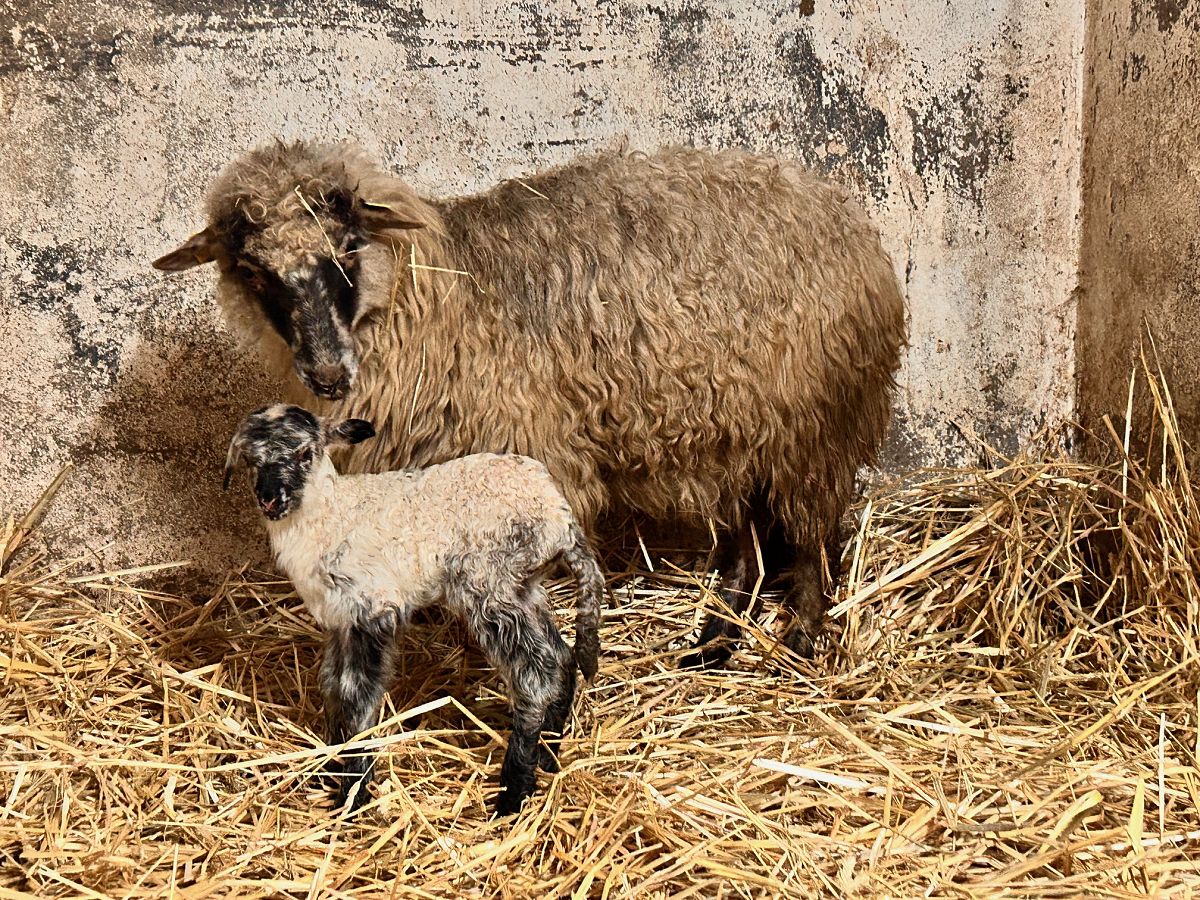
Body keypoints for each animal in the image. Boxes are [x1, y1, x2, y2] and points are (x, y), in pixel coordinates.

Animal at [154, 137, 902, 667]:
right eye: (253, 272)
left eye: (345, 247)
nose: (329, 374)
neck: (431, 295)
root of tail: (834, 204)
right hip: (736, 426)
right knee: (747, 546)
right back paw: (714, 643)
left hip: (812, 424)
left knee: (812, 538)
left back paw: (801, 639)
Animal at [222, 405, 604, 816]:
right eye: (250, 460)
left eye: (305, 453)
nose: (269, 499)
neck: (334, 514)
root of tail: (560, 516)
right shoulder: (341, 620)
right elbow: (331, 685)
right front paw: (331, 766)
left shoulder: (372, 609)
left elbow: (356, 695)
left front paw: (353, 792)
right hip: (523, 587)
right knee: (562, 656)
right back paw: (548, 754)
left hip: (489, 582)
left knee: (537, 674)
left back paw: (513, 792)